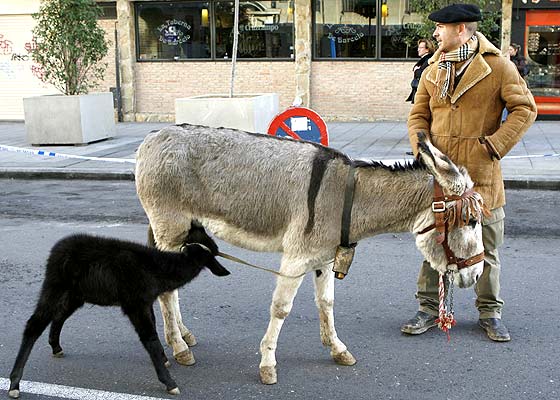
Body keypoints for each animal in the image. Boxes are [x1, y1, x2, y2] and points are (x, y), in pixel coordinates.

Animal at [7, 233, 229, 398]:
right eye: (211, 253)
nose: (223, 265)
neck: (159, 269)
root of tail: (56, 250)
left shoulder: (145, 302)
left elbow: (153, 331)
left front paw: (165, 359)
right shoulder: (135, 303)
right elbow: (149, 339)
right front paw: (169, 382)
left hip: (76, 294)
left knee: (59, 315)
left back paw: (56, 347)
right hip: (55, 285)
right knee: (34, 324)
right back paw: (14, 384)